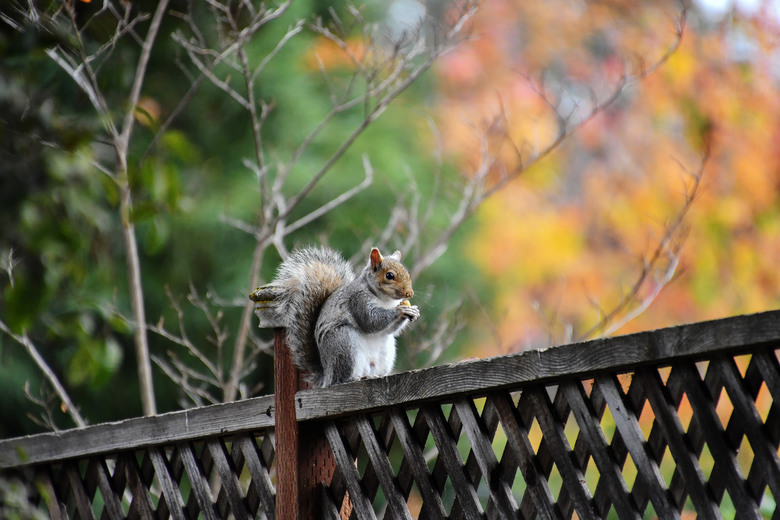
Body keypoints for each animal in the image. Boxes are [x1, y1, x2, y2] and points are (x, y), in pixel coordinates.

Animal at [250, 247, 420, 386]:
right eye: (389, 275)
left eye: (407, 273)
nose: (409, 293)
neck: (385, 300)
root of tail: (327, 375)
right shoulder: (357, 300)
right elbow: (371, 321)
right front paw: (400, 311)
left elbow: (389, 330)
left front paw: (413, 311)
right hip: (342, 342)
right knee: (341, 379)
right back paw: (352, 378)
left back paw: (372, 376)